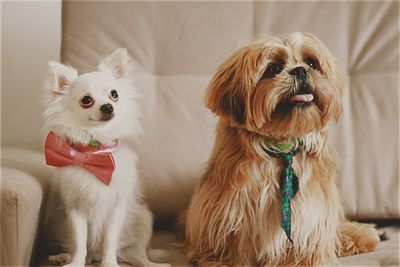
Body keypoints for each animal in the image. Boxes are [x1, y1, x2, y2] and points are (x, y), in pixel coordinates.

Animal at [42, 48, 169, 267]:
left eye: (114, 94)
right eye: (86, 100)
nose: (108, 106)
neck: (95, 154)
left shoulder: (116, 209)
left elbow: (109, 240)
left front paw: (109, 263)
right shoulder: (75, 210)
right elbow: (79, 241)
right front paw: (75, 263)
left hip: (144, 219)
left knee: (137, 256)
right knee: (86, 250)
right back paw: (64, 257)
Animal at [186, 33, 380, 267]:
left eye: (311, 63)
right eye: (274, 68)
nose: (300, 70)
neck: (283, 146)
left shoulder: (312, 212)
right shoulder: (227, 209)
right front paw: (224, 261)